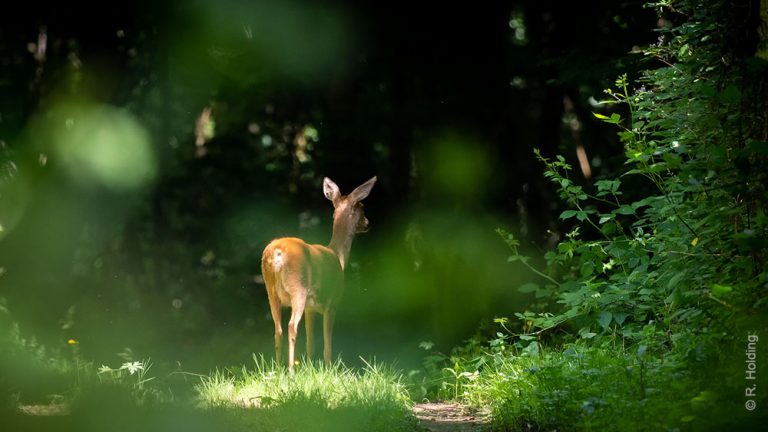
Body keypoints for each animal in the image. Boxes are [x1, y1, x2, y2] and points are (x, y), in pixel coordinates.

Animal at [260, 176, 376, 372]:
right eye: (362, 207)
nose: (367, 224)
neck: (338, 255)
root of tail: (277, 253)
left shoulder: (310, 308)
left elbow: (311, 343)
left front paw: (309, 368)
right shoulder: (332, 303)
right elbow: (327, 345)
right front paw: (329, 369)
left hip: (271, 292)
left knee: (278, 329)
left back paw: (278, 368)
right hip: (298, 289)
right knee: (291, 327)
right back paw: (290, 371)